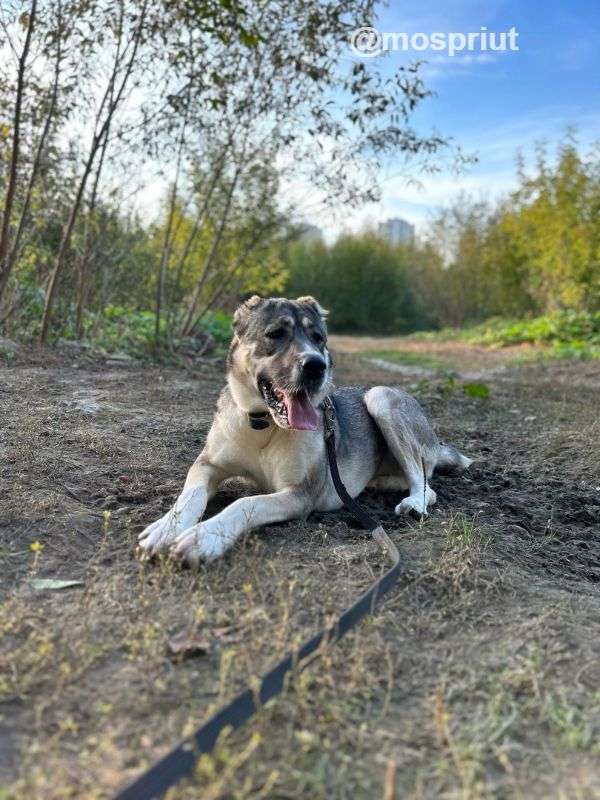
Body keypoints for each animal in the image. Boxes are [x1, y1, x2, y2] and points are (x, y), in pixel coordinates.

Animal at [138, 296, 472, 564]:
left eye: (318, 338)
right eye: (275, 334)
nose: (316, 366)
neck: (264, 425)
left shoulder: (299, 494)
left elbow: (245, 503)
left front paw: (203, 537)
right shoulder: (207, 465)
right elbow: (191, 495)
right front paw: (166, 528)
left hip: (381, 398)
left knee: (426, 485)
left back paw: (414, 503)